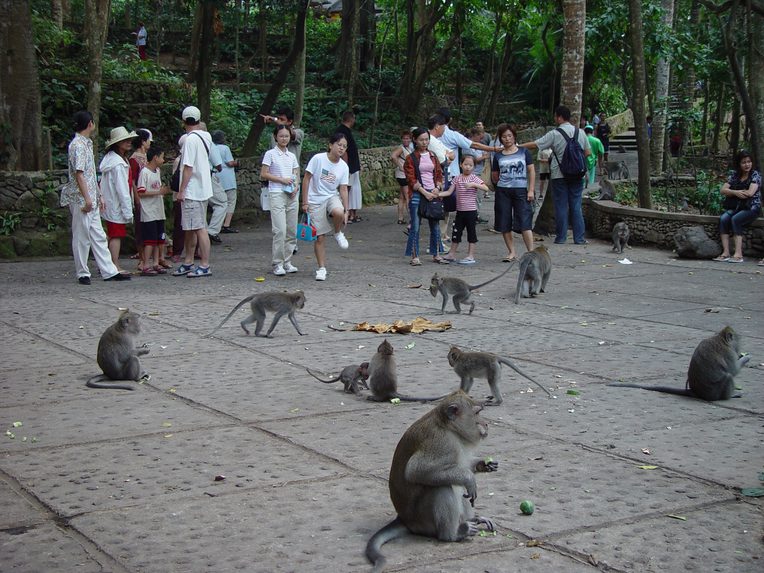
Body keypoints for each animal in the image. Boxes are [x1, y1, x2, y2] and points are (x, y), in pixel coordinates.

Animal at [365, 390, 498, 573]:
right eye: (477, 413)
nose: (486, 424)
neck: (449, 428)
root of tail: (404, 519)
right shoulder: (442, 444)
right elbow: (415, 471)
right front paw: (469, 478)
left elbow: (464, 466)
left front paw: (483, 464)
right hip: (422, 519)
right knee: (441, 487)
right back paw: (453, 534)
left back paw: (473, 520)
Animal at [608, 326, 750, 401]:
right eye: (738, 341)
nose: (739, 349)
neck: (721, 339)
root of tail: (697, 393)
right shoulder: (729, 353)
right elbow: (733, 371)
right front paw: (746, 358)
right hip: (714, 394)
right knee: (728, 376)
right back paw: (730, 396)